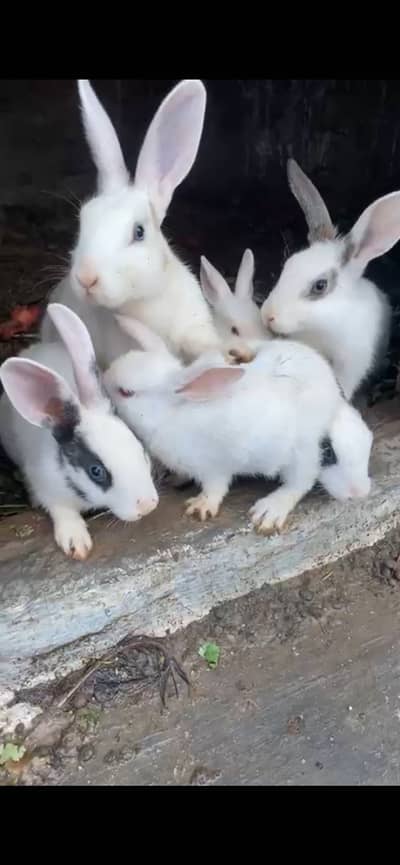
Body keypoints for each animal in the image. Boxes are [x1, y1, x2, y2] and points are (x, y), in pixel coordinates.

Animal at [0, 304, 158, 560]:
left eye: (138, 446)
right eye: (96, 471)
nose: (147, 505)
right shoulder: (46, 487)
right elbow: (61, 510)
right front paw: (76, 543)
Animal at [102, 316, 349, 535]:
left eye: (126, 392)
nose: (103, 379)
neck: (169, 416)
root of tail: (328, 380)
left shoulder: (212, 467)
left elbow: (215, 488)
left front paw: (200, 507)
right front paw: (177, 479)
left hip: (301, 451)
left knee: (301, 481)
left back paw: (269, 511)